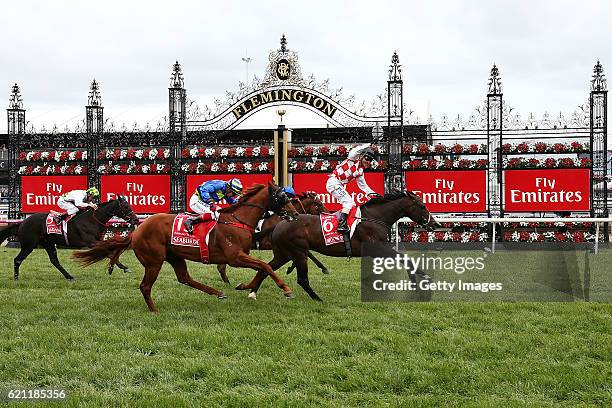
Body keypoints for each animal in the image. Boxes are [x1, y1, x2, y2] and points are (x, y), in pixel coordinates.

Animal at [0, 197, 138, 280]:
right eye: (125, 206)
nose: (136, 219)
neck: (92, 219)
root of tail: (22, 223)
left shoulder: (97, 241)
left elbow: (109, 252)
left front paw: (113, 268)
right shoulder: (91, 242)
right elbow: (108, 252)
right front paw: (121, 268)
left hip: (48, 244)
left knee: (54, 261)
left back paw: (69, 276)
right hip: (29, 245)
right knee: (17, 259)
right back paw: (16, 278)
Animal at [71, 182, 298, 312]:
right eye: (282, 197)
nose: (295, 214)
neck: (237, 220)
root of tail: (137, 230)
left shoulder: (238, 257)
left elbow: (263, 267)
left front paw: (246, 287)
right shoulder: (235, 257)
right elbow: (265, 266)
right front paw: (286, 289)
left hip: (175, 256)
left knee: (184, 278)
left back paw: (217, 292)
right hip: (154, 261)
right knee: (145, 286)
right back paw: (154, 310)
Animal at [235, 190, 440, 300]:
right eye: (422, 206)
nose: (435, 224)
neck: (375, 218)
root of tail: (279, 223)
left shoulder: (377, 251)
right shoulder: (378, 247)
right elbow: (405, 259)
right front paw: (422, 280)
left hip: (284, 253)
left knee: (265, 268)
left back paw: (251, 290)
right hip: (298, 252)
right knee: (301, 279)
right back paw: (317, 299)